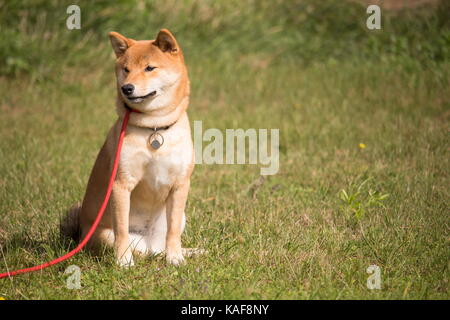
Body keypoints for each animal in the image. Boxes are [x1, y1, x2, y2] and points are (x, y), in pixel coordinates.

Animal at [61, 30, 199, 266]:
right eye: (126, 69)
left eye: (149, 68)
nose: (127, 88)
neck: (154, 127)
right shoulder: (121, 184)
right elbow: (122, 228)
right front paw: (124, 261)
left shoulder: (180, 184)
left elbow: (173, 232)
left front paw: (175, 258)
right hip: (104, 235)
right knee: (141, 250)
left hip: (182, 217)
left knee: (165, 241)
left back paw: (187, 252)